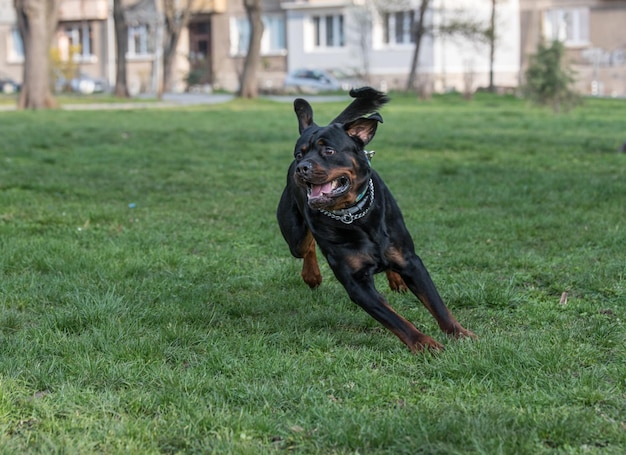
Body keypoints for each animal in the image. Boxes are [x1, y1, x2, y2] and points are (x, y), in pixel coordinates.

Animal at [274, 88, 472, 352]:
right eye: (299, 154)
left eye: (329, 151)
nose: (301, 167)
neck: (355, 216)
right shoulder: (356, 283)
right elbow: (396, 320)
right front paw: (425, 344)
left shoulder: (412, 262)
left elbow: (437, 305)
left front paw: (460, 334)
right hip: (294, 236)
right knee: (306, 245)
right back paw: (312, 275)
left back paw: (395, 278)